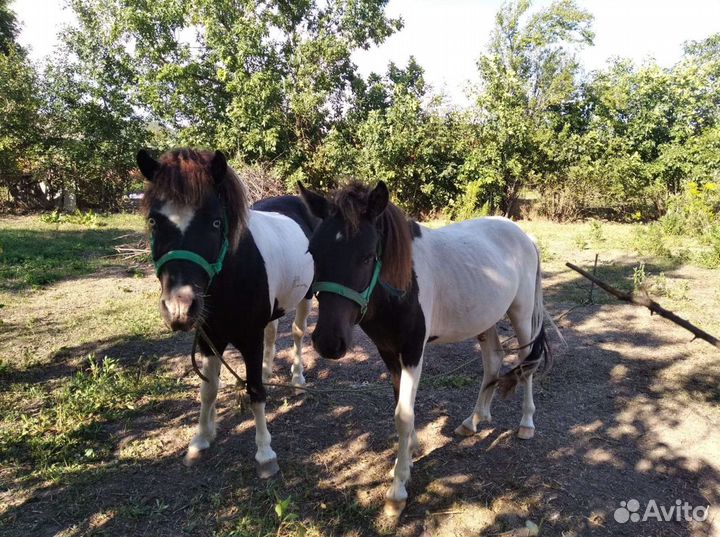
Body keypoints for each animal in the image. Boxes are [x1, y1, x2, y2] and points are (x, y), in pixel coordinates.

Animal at [136, 148, 316, 477]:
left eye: (216, 222)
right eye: (154, 221)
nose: (179, 307)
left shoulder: (248, 338)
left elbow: (256, 391)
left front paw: (265, 454)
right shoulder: (209, 338)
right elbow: (209, 389)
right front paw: (200, 440)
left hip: (306, 296)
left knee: (297, 333)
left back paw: (298, 380)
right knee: (272, 332)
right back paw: (269, 370)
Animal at [298, 180, 551, 516]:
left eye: (367, 256)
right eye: (313, 253)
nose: (328, 342)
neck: (401, 284)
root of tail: (524, 236)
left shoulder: (412, 352)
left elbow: (404, 415)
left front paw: (398, 489)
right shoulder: (388, 352)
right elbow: (399, 406)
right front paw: (411, 452)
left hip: (522, 316)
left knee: (526, 364)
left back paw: (526, 423)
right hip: (485, 320)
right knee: (493, 361)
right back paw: (473, 421)